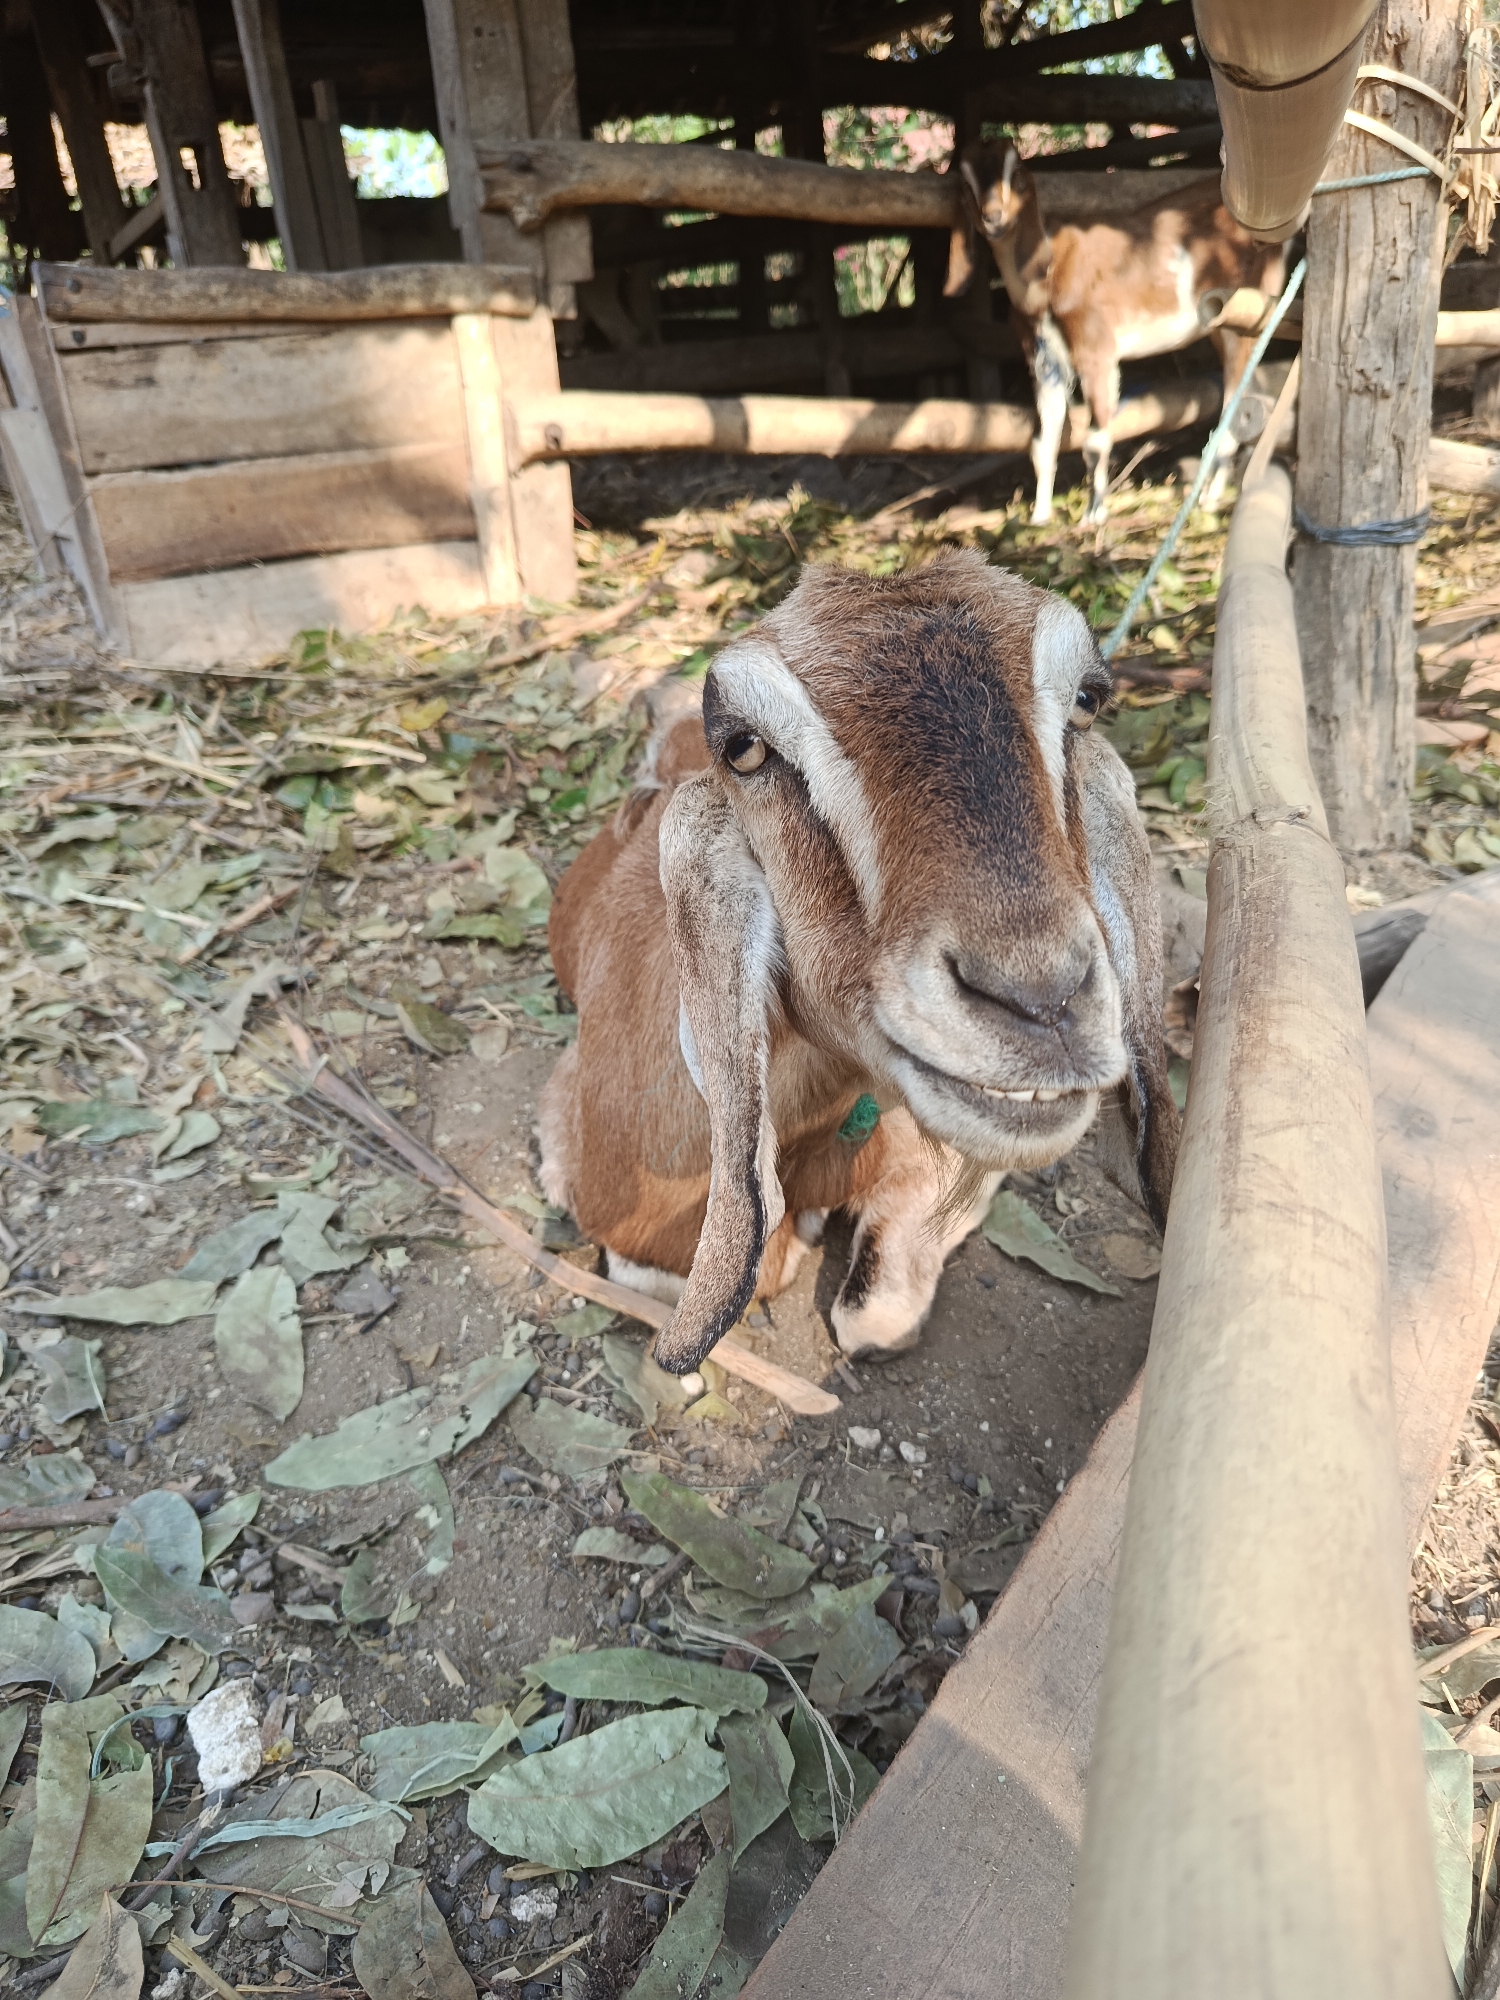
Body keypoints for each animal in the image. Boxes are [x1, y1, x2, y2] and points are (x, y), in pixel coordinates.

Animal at [959, 143, 1286, 526]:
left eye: (1017, 178)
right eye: (965, 183)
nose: (992, 217)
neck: (1048, 271)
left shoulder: (1095, 349)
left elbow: (1095, 440)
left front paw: (1094, 516)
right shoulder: (1042, 357)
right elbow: (1043, 443)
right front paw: (1040, 517)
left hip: (1243, 312)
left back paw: (1209, 499)